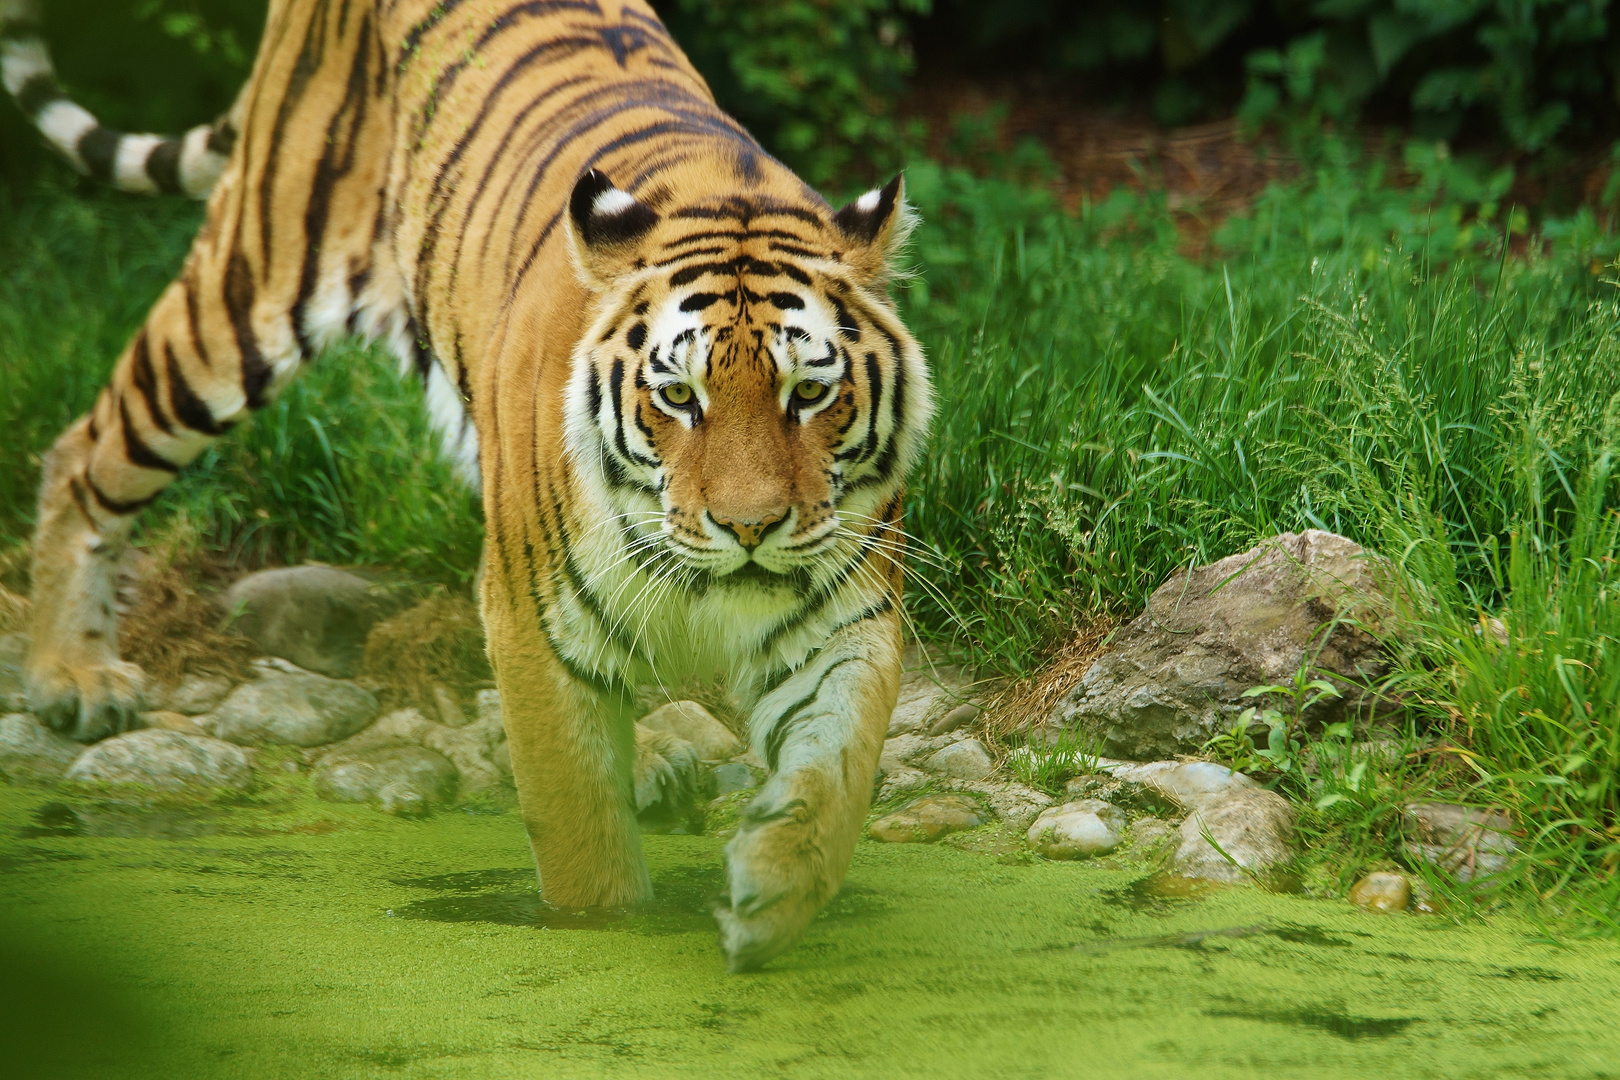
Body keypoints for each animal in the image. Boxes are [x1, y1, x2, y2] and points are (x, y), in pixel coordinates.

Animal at [0, 0, 933, 971]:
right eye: (680, 397)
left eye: (809, 394)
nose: (750, 529)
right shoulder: (534, 619)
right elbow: (580, 837)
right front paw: (603, 928)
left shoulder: (845, 617)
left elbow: (837, 768)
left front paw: (774, 889)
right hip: (244, 292)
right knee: (84, 451)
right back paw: (71, 675)